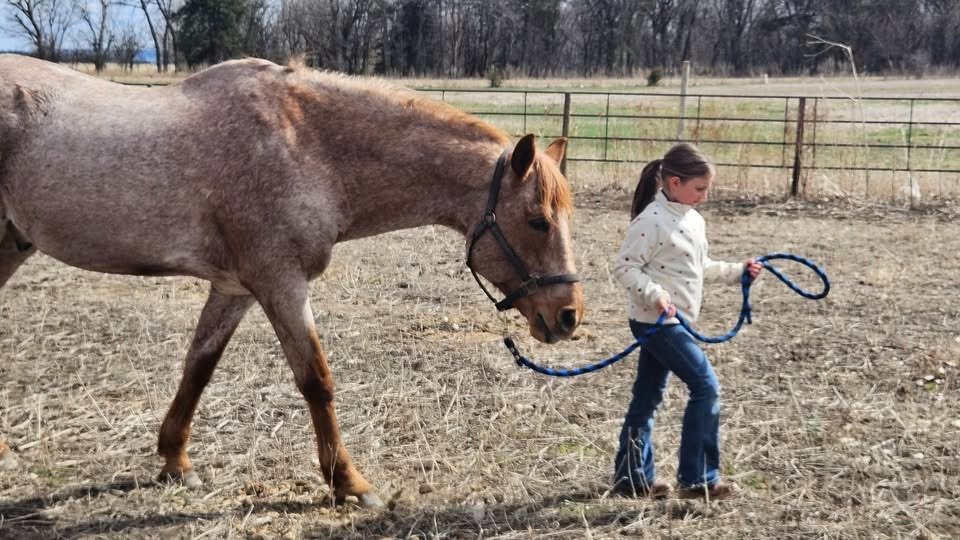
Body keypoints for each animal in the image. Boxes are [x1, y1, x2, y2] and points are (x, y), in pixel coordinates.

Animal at [0, 55, 583, 508]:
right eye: (537, 220)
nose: (568, 315)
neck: (306, 141)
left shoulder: (235, 289)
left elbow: (198, 368)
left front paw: (175, 461)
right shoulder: (280, 282)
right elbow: (316, 381)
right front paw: (349, 483)